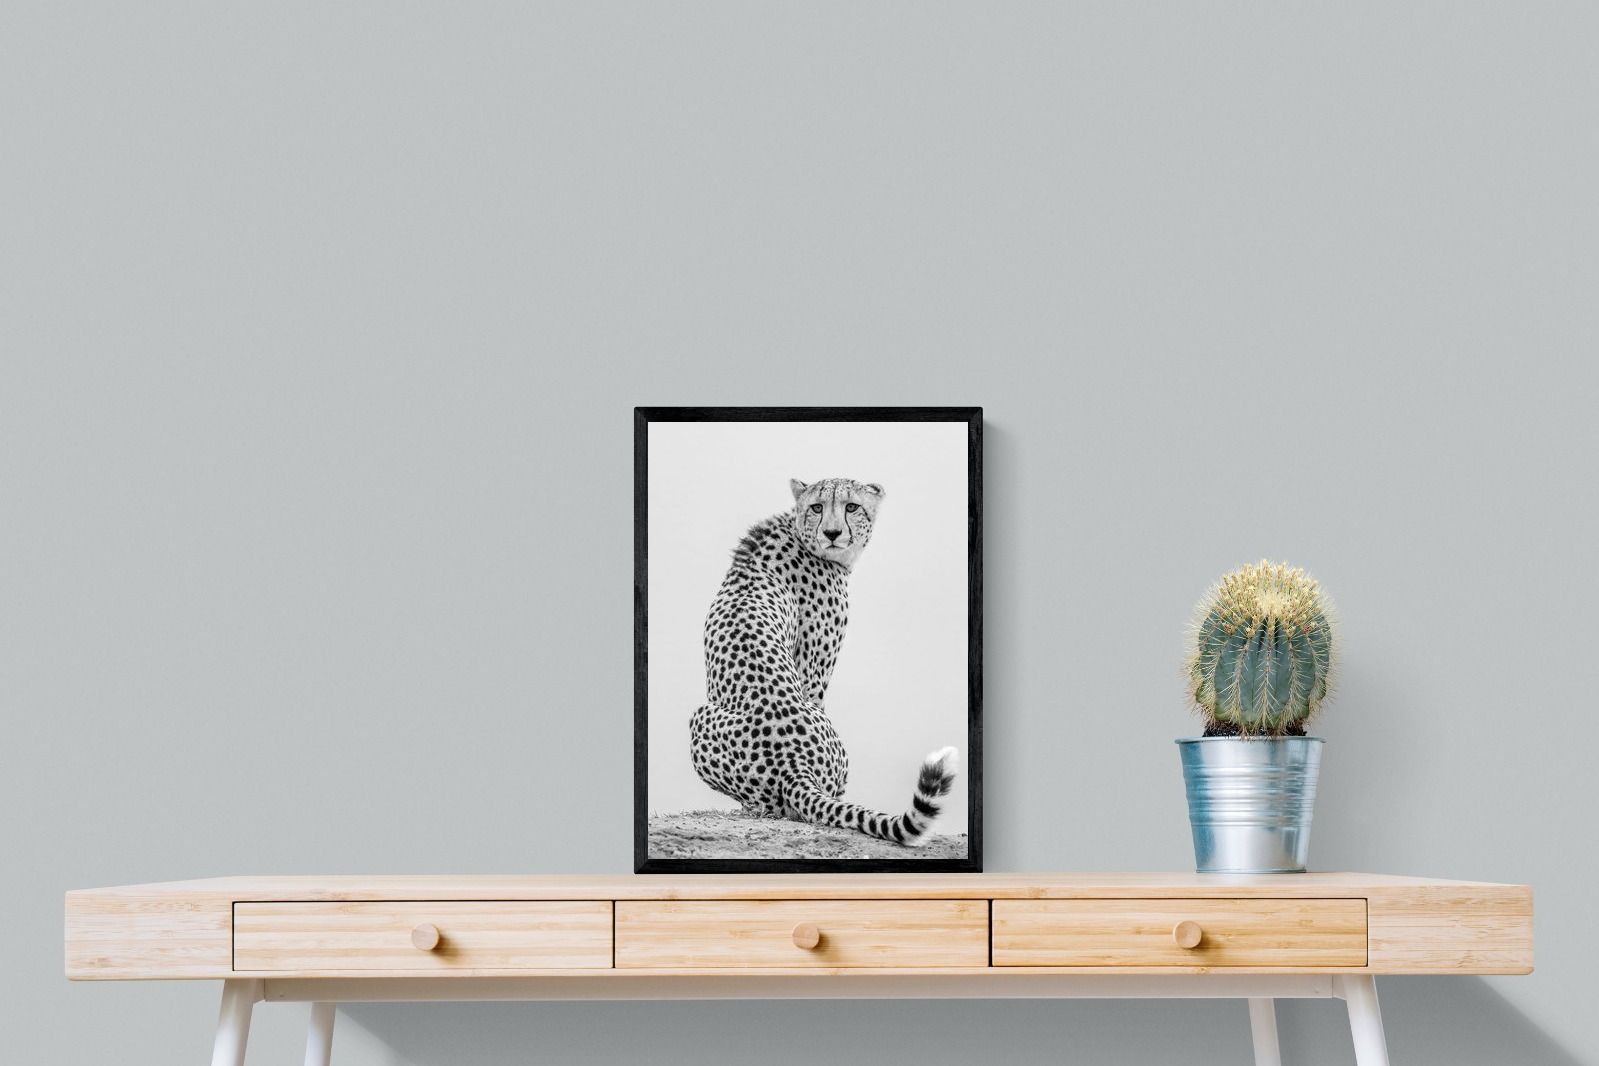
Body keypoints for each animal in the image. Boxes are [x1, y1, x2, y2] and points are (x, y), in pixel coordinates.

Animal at [688, 476, 959, 847]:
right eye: (817, 507)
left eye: (851, 506)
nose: (832, 532)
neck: (799, 532)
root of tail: (793, 764)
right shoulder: (813, 671)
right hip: (702, 717)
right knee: (785, 806)